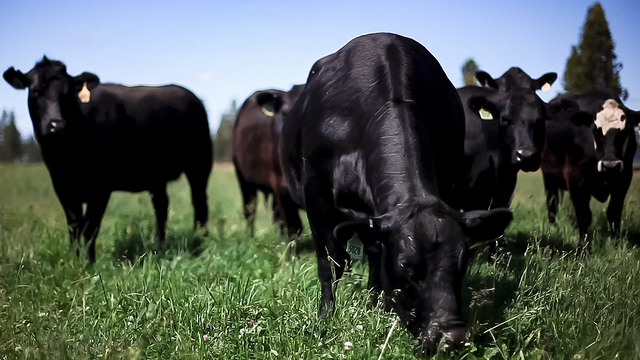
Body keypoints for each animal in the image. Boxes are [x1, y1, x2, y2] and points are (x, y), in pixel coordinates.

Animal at [3, 57, 212, 262]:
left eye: (68, 94)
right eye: (35, 92)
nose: (57, 125)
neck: (69, 155)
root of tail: (191, 96)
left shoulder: (101, 187)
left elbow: (90, 226)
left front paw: (89, 263)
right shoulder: (61, 185)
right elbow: (74, 225)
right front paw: (73, 260)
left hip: (200, 165)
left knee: (199, 202)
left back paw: (199, 240)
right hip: (157, 177)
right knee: (162, 206)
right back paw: (159, 246)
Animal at [232, 85, 304, 238]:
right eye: (286, 113)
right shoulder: (282, 187)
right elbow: (294, 227)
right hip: (243, 178)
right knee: (250, 210)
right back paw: (250, 237)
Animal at [278, 32, 512, 352]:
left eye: (462, 262)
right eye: (406, 265)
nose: (451, 336)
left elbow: (375, 255)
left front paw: (375, 305)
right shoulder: (317, 194)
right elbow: (330, 260)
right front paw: (326, 315)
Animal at [540, 89, 640, 248]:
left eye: (625, 131)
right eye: (596, 130)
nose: (610, 164)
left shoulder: (624, 178)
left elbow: (614, 213)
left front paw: (616, 244)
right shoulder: (575, 177)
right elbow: (584, 215)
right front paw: (583, 247)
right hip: (549, 177)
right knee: (552, 203)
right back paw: (553, 227)